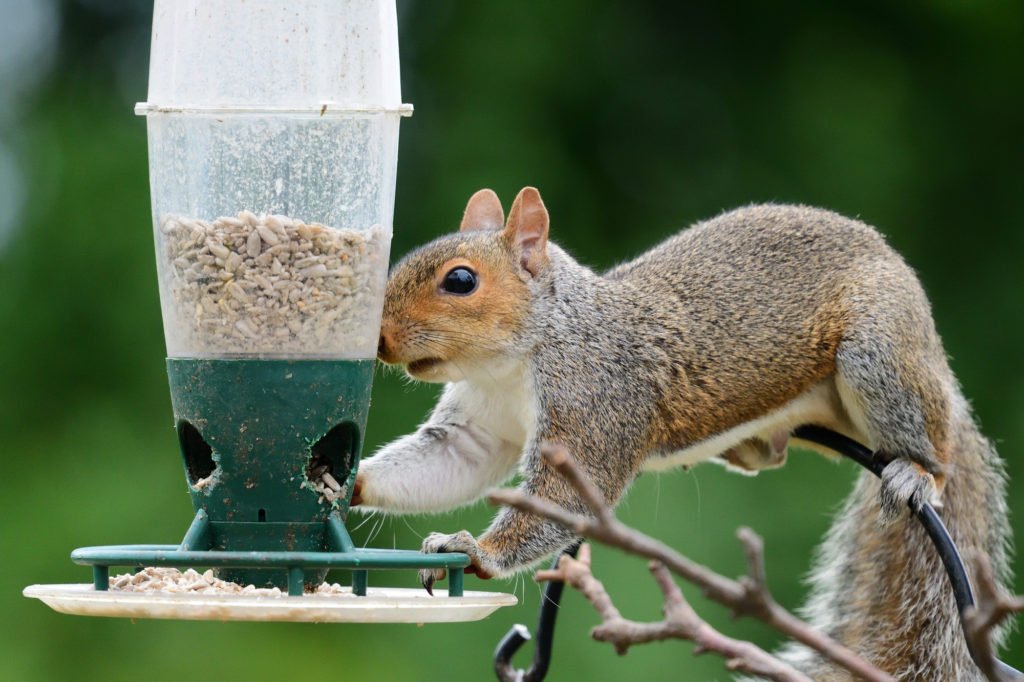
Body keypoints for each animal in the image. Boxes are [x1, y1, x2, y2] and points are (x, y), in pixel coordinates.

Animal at [353, 187, 1011, 680]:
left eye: (460, 281)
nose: (378, 338)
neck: (515, 360)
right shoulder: (480, 424)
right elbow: (451, 463)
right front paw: (344, 481)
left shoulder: (596, 400)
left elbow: (563, 500)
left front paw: (475, 551)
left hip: (879, 356)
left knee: (935, 445)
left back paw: (917, 471)